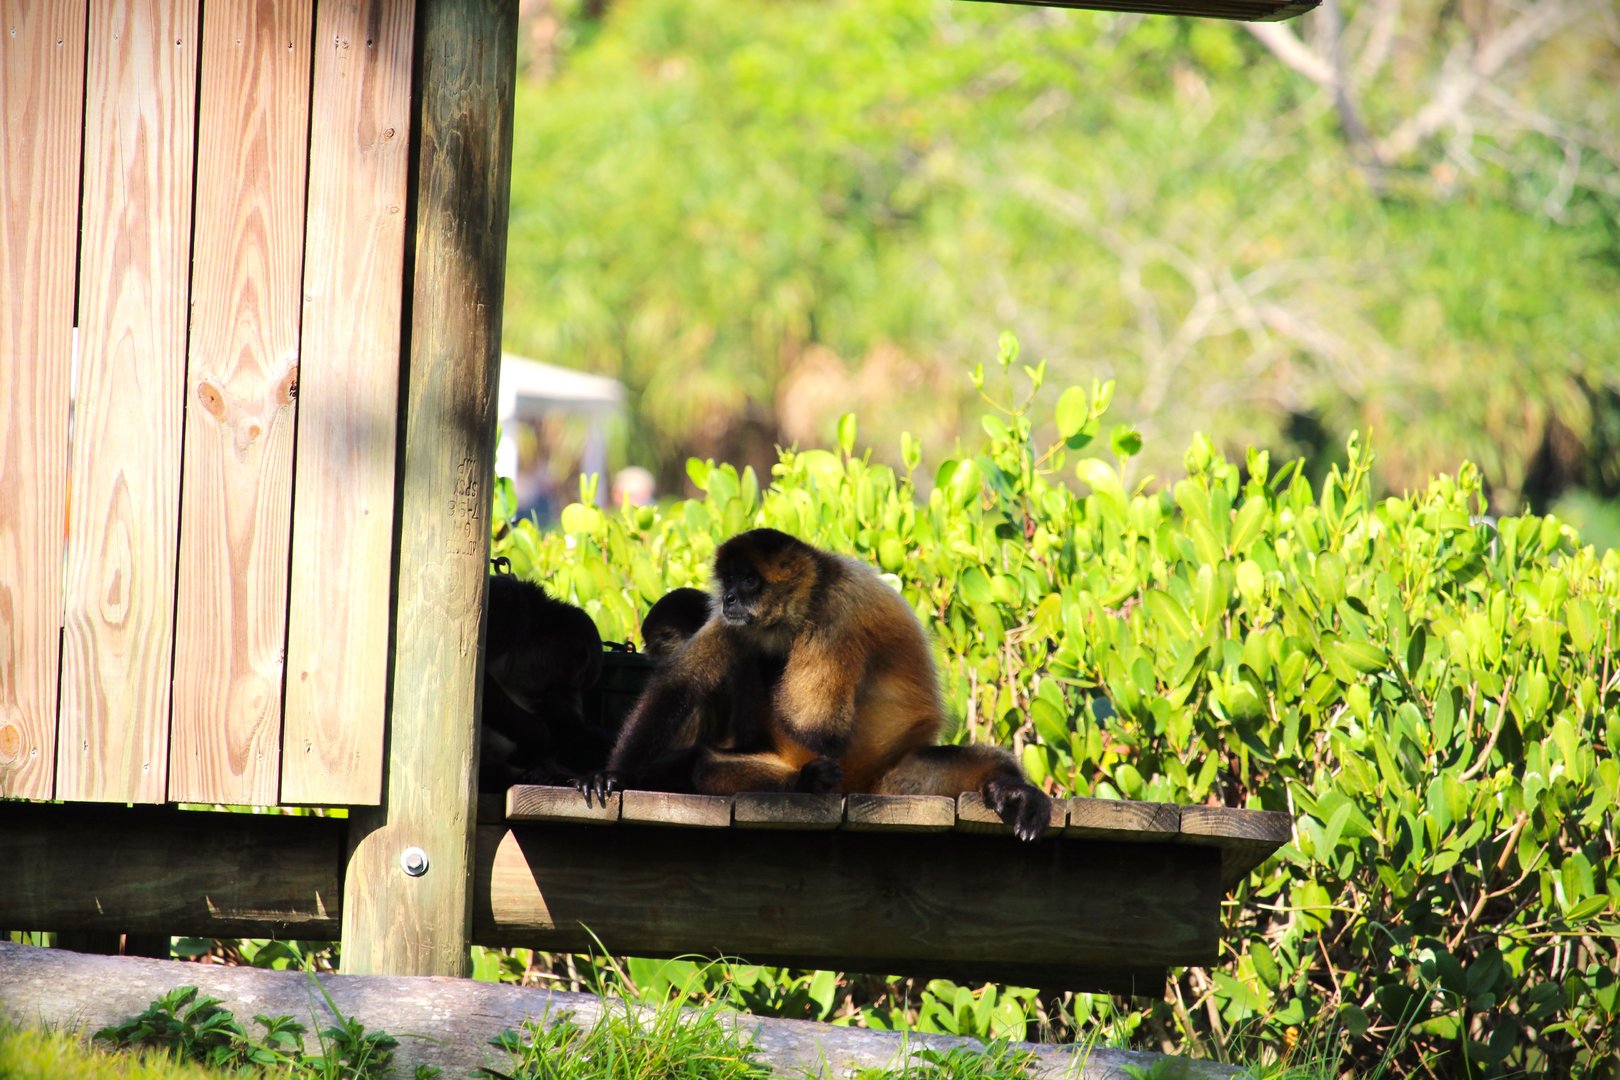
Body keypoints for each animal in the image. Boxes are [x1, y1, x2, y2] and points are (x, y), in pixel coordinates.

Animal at [579, 529, 1052, 840]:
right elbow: (681, 683)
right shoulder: (738, 622)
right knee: (708, 764)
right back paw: (809, 781)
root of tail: (862, 787)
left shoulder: (834, 614)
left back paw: (1010, 789)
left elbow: (819, 728)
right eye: (729, 582)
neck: (817, 582)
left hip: (896, 777)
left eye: (749, 581)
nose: (729, 598)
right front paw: (612, 773)